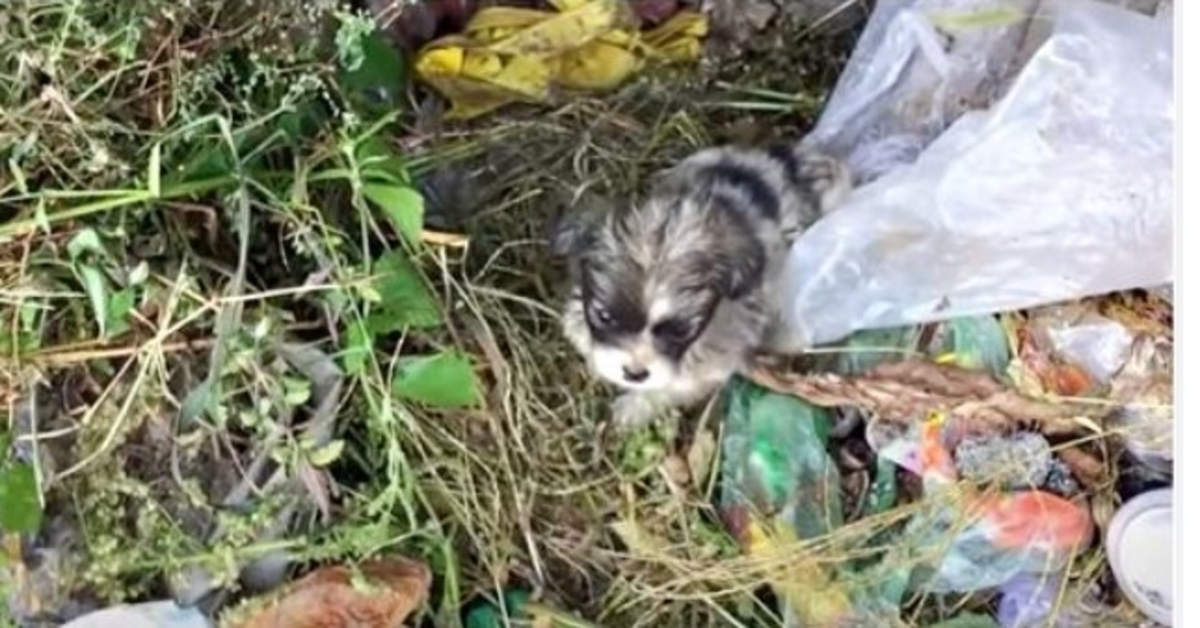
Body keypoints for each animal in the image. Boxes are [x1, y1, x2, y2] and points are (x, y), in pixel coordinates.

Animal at [552, 142, 854, 429]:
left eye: (681, 331)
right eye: (604, 316)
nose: (634, 373)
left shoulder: (711, 363)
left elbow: (670, 388)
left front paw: (635, 408)